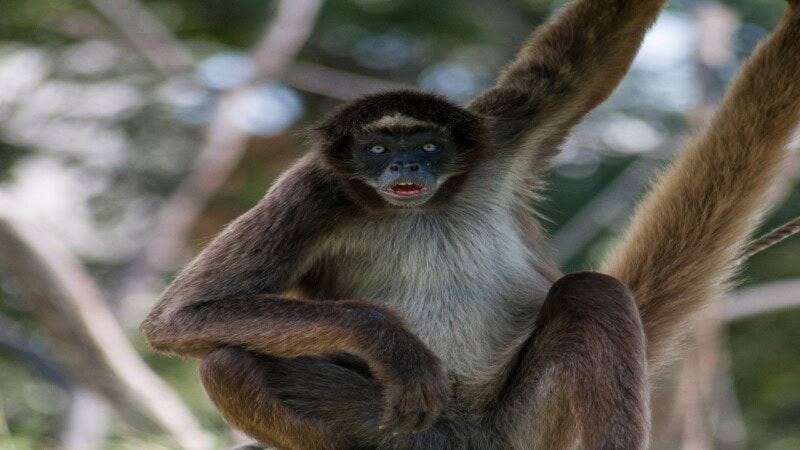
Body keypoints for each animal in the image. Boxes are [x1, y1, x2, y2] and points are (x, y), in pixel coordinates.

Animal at [140, 0, 800, 448]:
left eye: (429, 146)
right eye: (378, 150)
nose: (406, 165)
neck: (419, 209)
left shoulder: (503, 132)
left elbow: (581, 59)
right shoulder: (313, 191)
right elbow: (180, 318)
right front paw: (390, 342)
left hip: (523, 426)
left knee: (590, 294)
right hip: (400, 426)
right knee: (229, 363)